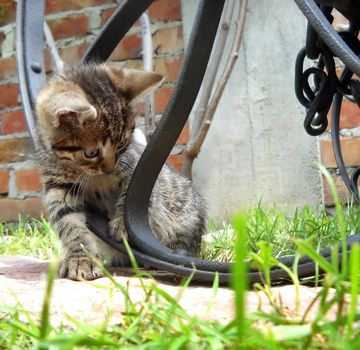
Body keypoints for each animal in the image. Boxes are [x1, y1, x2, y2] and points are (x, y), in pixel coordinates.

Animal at [35, 63, 208, 282]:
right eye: (91, 152)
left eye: (122, 145)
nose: (109, 168)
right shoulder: (58, 188)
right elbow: (69, 223)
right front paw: (81, 258)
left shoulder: (137, 170)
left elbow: (132, 197)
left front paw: (123, 226)